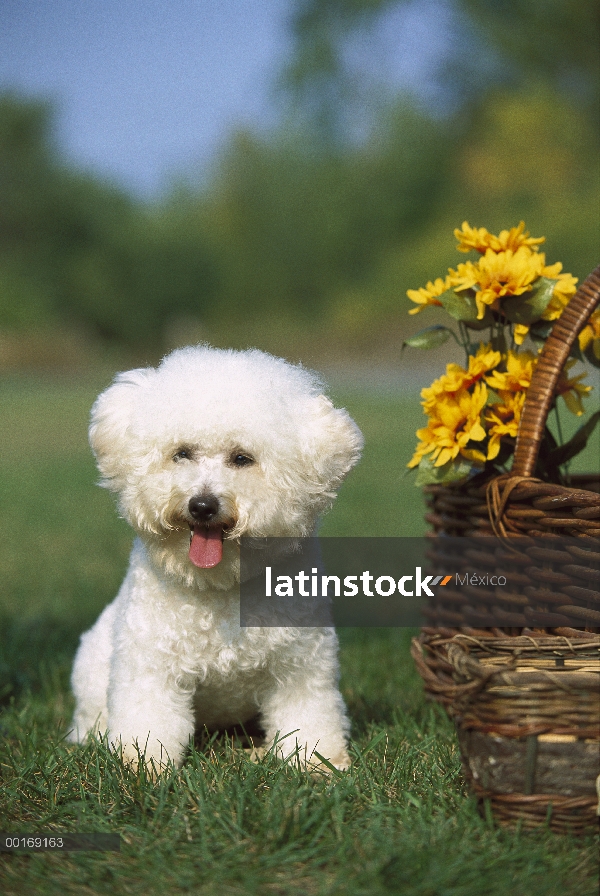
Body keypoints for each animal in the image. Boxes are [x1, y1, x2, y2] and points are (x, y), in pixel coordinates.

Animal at [68, 346, 364, 772]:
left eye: (242, 458)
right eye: (182, 454)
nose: (202, 505)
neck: (221, 586)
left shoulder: (299, 666)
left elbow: (308, 718)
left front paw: (315, 763)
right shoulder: (151, 668)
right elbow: (148, 721)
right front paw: (142, 765)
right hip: (94, 668)